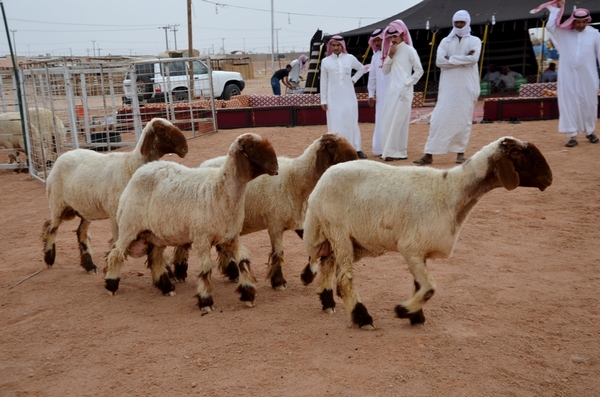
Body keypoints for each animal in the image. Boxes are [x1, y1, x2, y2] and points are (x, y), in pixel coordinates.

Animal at [41, 116, 188, 274]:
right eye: (160, 130)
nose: (185, 148)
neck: (130, 165)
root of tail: (61, 156)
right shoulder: (115, 213)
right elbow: (116, 241)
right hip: (57, 203)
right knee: (51, 227)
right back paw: (49, 258)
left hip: (84, 209)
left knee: (80, 232)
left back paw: (89, 265)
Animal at [103, 132, 278, 310]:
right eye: (251, 147)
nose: (275, 166)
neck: (219, 189)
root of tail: (142, 170)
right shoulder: (202, 238)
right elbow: (205, 268)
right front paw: (205, 300)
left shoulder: (230, 237)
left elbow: (243, 259)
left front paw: (248, 294)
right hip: (128, 227)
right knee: (116, 254)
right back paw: (111, 285)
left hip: (156, 235)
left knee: (156, 259)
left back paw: (166, 288)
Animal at [171, 131, 358, 290]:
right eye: (333, 146)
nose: (357, 159)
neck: (295, 179)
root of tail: (202, 166)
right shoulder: (274, 223)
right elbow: (278, 252)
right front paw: (279, 282)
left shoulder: (298, 221)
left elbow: (313, 247)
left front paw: (307, 276)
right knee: (186, 242)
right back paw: (179, 274)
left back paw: (231, 273)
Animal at [300, 136, 552, 328]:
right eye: (519, 155)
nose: (549, 178)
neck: (451, 191)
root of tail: (324, 178)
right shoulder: (410, 248)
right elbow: (429, 288)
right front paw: (403, 310)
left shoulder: (420, 252)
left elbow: (420, 286)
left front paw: (415, 316)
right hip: (338, 229)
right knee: (344, 278)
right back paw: (362, 318)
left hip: (357, 241)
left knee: (328, 263)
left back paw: (327, 302)